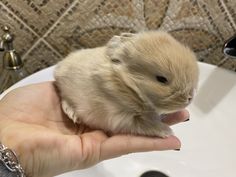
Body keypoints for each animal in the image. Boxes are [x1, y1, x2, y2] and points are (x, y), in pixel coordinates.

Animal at [54, 31, 198, 138]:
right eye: (161, 79)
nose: (189, 98)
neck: (128, 85)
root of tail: (58, 68)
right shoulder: (124, 118)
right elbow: (147, 125)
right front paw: (167, 131)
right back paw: (72, 114)